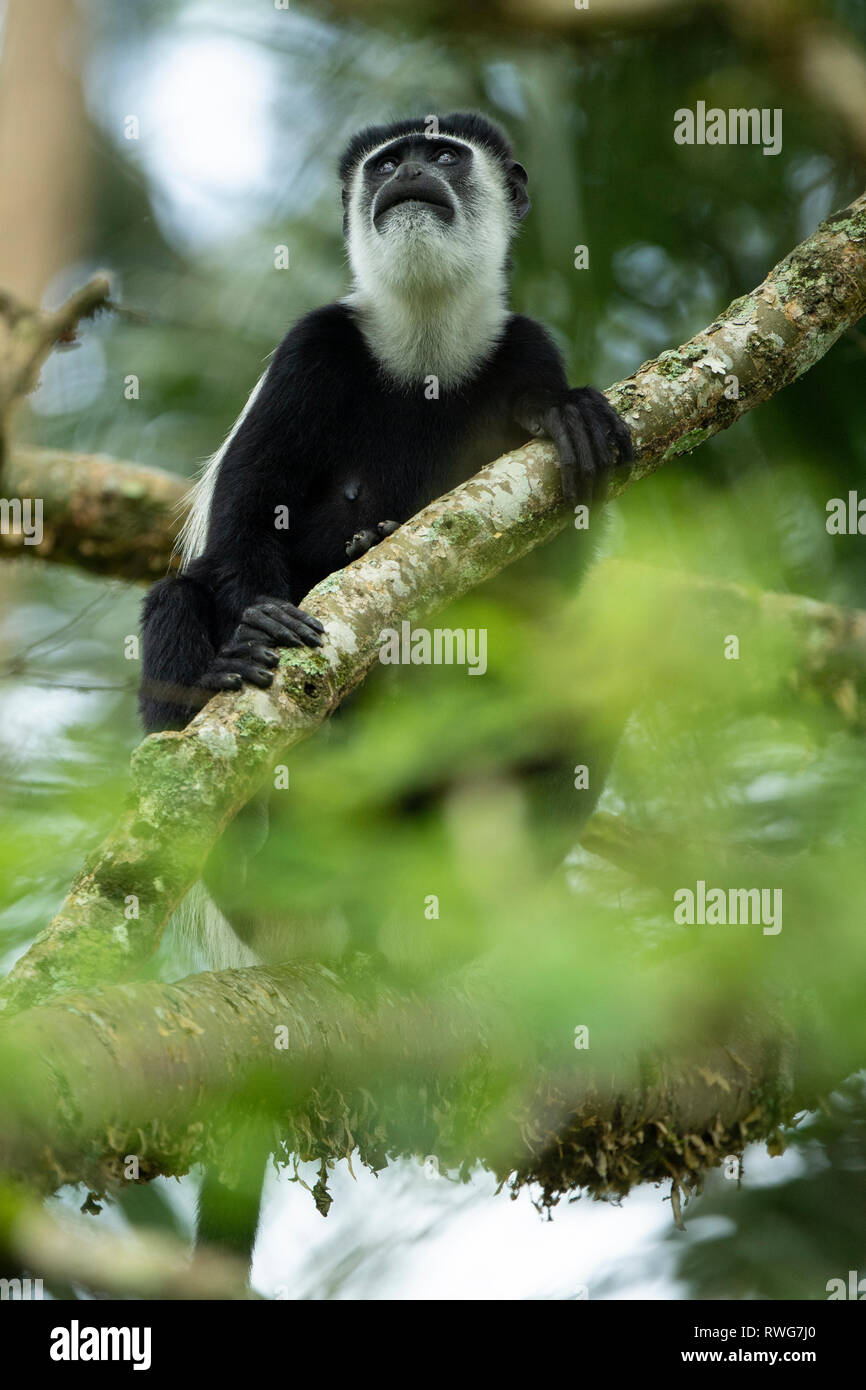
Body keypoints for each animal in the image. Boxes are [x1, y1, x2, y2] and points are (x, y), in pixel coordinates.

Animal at [139, 111, 633, 739]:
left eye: (443, 156)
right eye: (388, 163)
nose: (410, 173)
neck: (426, 338)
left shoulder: (530, 348)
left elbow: (548, 579)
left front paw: (561, 414)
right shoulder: (311, 348)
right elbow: (250, 504)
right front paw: (265, 622)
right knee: (175, 596)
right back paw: (215, 677)